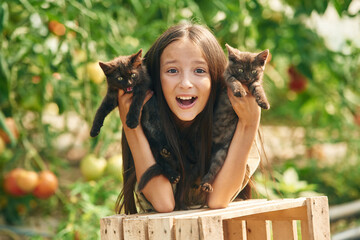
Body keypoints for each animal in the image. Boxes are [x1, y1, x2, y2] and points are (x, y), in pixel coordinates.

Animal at [200, 44, 270, 191]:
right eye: (240, 69)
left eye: (254, 72)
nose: (247, 78)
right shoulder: (227, 76)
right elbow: (234, 80)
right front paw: (239, 90)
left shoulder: (255, 83)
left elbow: (258, 88)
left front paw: (264, 102)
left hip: (222, 153)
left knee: (213, 169)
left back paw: (207, 184)